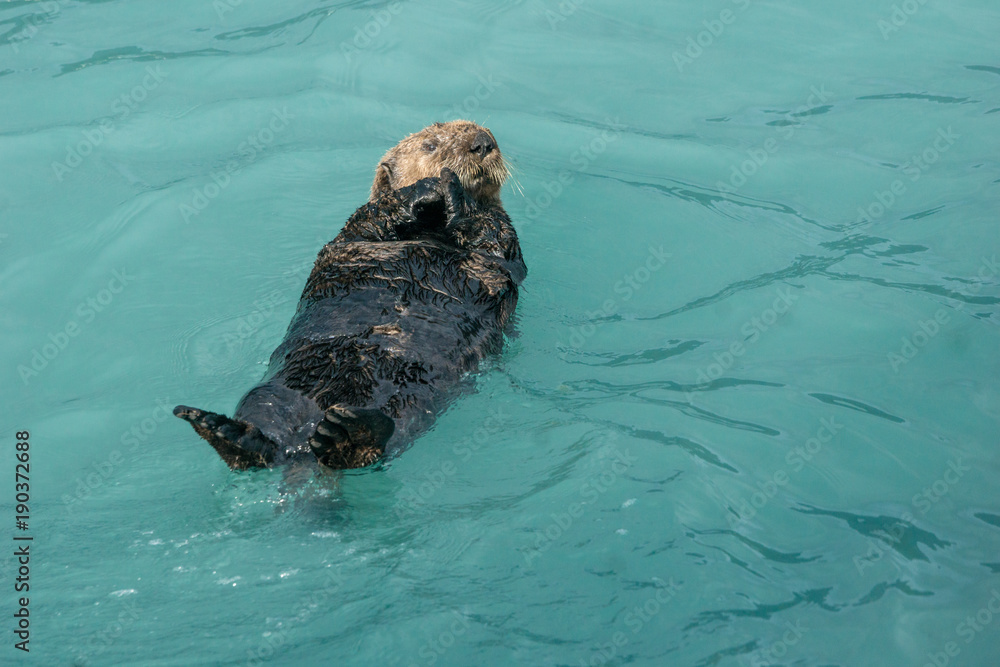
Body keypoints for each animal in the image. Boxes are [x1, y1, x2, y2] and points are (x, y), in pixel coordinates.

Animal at [174, 121, 525, 470]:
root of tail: (303, 444)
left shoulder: (502, 238)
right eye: (430, 146)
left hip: (409, 402)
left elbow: (492, 240)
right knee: (263, 427)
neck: (431, 229)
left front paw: (456, 192)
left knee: (380, 439)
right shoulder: (359, 229)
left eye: (489, 136)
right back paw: (222, 431)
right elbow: (372, 216)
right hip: (273, 391)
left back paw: (348, 434)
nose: (483, 143)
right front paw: (429, 187)